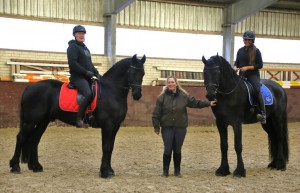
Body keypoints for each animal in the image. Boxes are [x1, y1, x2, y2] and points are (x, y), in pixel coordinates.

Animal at [9, 54, 145, 178]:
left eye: (142, 73)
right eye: (132, 72)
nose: (137, 95)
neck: (111, 91)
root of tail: (29, 87)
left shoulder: (115, 126)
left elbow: (110, 147)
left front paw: (109, 170)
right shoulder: (108, 125)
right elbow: (106, 147)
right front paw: (105, 172)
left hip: (43, 121)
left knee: (34, 139)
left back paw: (36, 166)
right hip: (31, 121)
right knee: (20, 138)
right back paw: (15, 167)